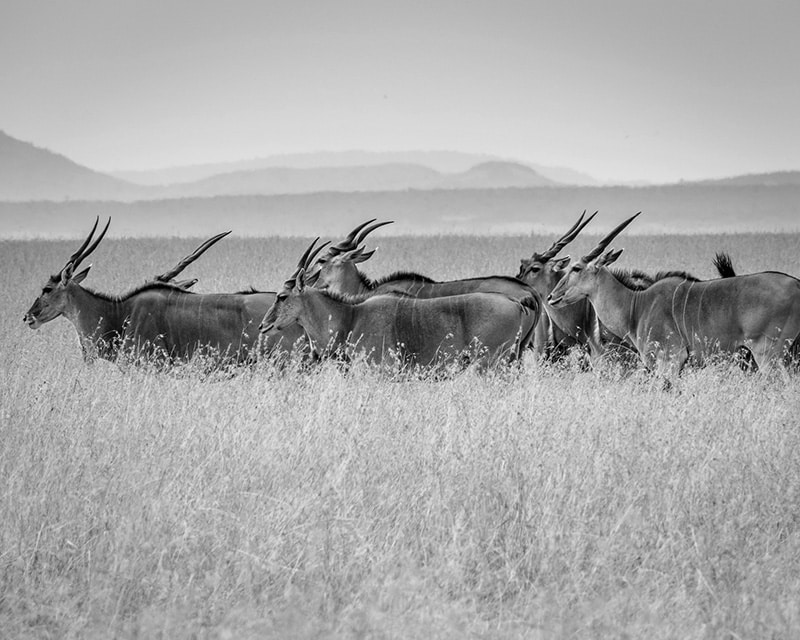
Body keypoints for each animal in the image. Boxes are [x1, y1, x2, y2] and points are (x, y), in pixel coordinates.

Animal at [548, 212, 800, 378]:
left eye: (576, 268)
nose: (552, 297)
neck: (636, 306)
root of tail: (797, 285)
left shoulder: (670, 359)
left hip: (769, 355)